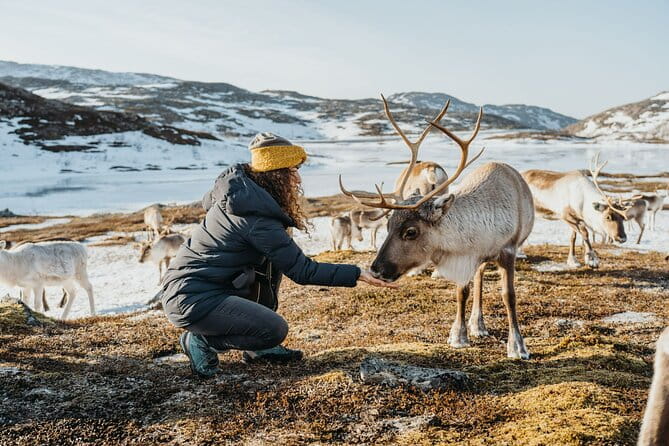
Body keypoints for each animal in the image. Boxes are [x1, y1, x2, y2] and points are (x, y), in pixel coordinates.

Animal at [339, 95, 534, 359]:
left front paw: (518, 346)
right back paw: (477, 324)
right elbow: (462, 291)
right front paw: (458, 335)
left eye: (411, 232)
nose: (376, 269)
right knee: (480, 278)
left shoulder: (508, 250)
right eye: (388, 224)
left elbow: (509, 295)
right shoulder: (467, 254)